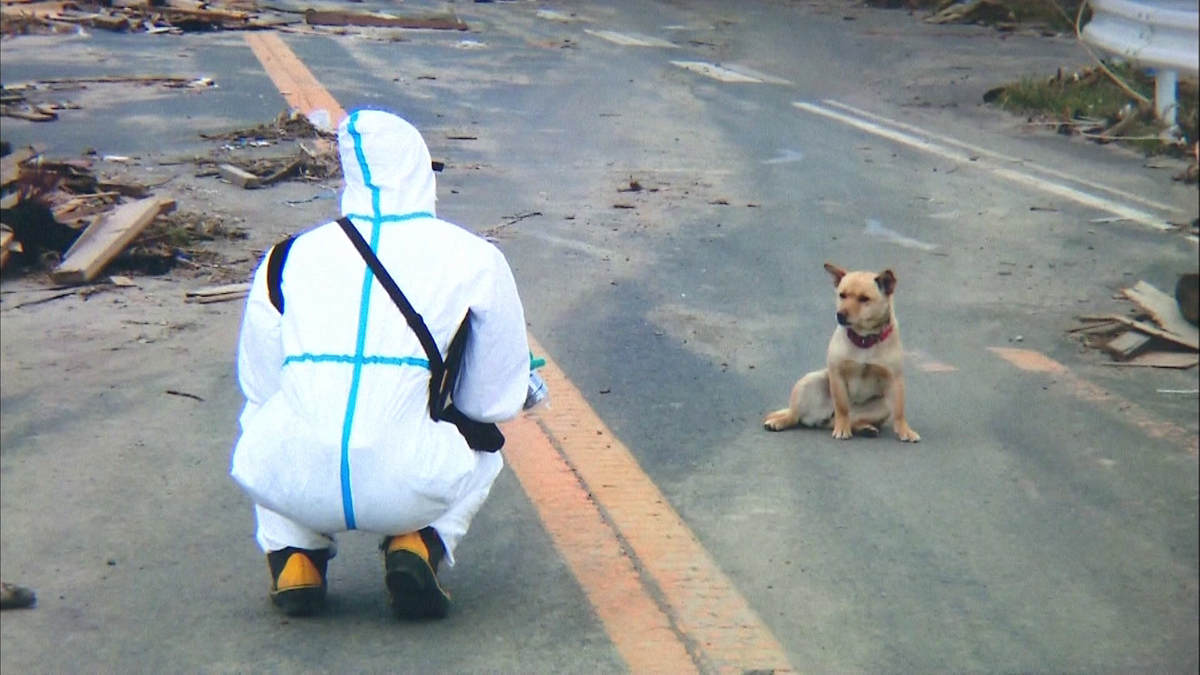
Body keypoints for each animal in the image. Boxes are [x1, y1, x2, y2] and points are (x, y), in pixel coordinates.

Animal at [763, 261, 921, 441]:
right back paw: (780, 421)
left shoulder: (895, 379)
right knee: (795, 415)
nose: (840, 315)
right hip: (810, 381)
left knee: (852, 420)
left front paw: (905, 430)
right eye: (842, 295)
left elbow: (900, 410)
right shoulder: (837, 374)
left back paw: (865, 428)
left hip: (882, 406)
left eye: (864, 299)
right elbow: (842, 407)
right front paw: (842, 429)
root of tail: (822, 418)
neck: (864, 340)